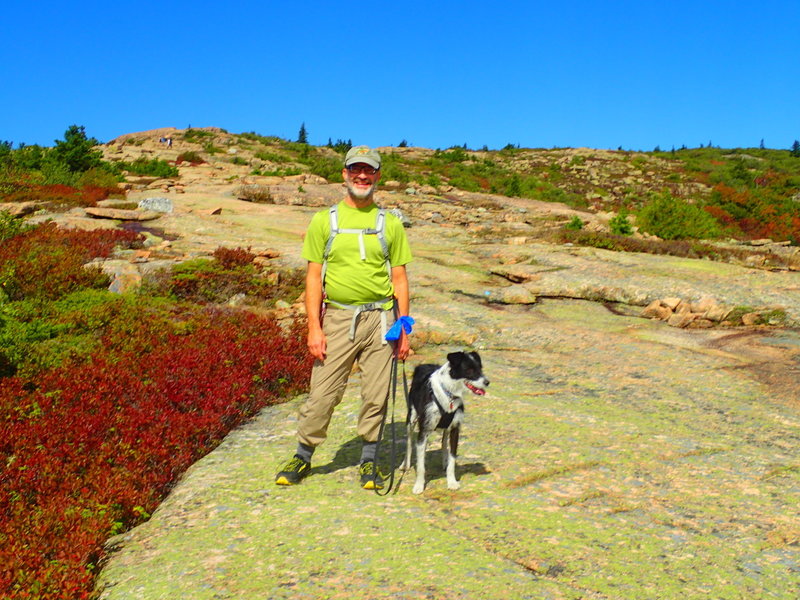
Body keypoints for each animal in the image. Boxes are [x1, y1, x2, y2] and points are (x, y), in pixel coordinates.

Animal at [400, 350, 488, 494]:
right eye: (469, 370)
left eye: (480, 368)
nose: (487, 382)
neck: (449, 394)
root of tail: (424, 365)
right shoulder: (424, 430)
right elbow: (421, 465)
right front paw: (419, 485)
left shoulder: (455, 429)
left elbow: (452, 458)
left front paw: (451, 482)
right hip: (411, 418)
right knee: (408, 442)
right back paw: (405, 464)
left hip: (446, 428)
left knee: (443, 442)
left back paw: (444, 462)